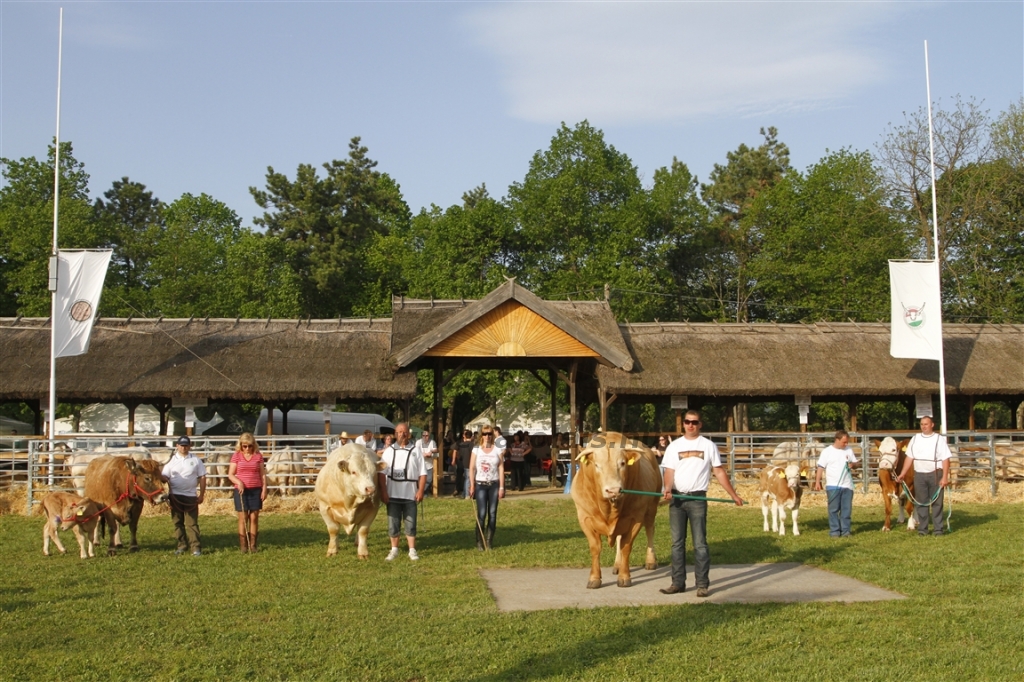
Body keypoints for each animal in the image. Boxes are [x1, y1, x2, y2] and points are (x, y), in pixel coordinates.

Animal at [569, 432, 663, 585]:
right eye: (597, 465)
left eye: (622, 463)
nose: (613, 490)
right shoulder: (584, 518)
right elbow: (595, 547)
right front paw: (594, 578)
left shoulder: (635, 518)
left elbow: (626, 546)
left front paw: (624, 577)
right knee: (619, 538)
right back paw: (617, 565)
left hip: (652, 507)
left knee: (650, 530)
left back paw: (650, 561)